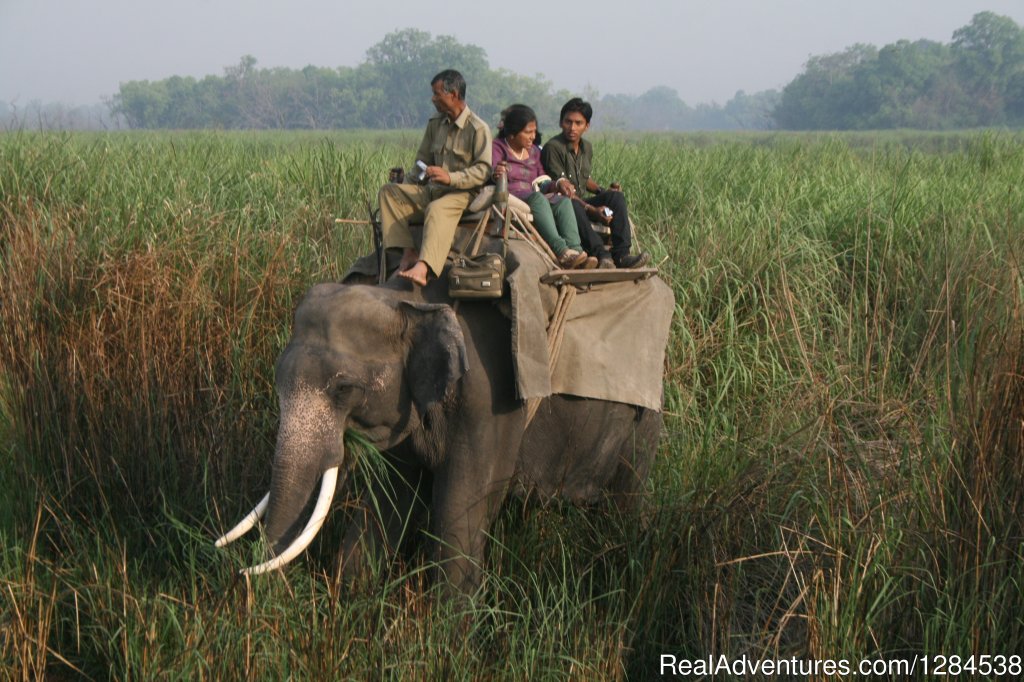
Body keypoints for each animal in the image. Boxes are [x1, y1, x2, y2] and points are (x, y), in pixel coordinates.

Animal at [216, 274, 663, 593]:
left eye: (343, 388)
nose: (240, 575)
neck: (410, 301)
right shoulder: (405, 406)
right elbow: (390, 496)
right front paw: (350, 598)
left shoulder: (491, 399)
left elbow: (458, 510)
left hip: (642, 421)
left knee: (629, 497)